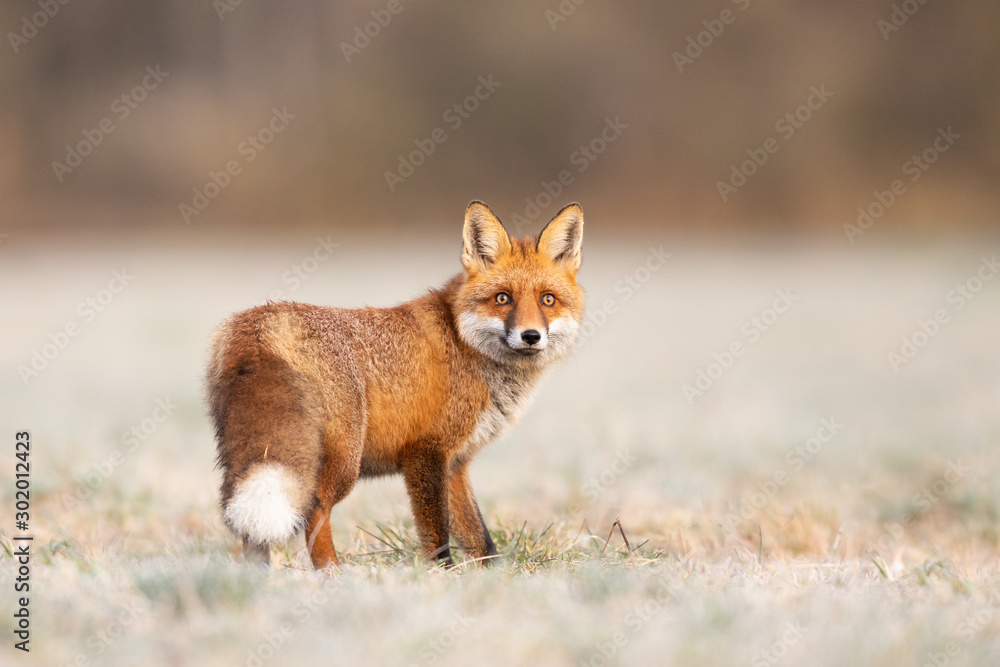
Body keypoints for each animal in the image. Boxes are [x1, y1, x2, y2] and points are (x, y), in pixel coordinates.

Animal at [206, 201, 585, 569]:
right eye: (503, 298)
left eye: (548, 300)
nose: (531, 336)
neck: (464, 343)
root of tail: (260, 326)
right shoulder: (426, 451)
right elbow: (437, 532)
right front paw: (441, 576)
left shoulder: (456, 463)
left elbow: (480, 539)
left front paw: (491, 577)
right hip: (343, 462)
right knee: (315, 509)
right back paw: (333, 575)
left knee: (252, 528)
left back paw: (257, 577)